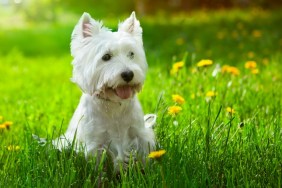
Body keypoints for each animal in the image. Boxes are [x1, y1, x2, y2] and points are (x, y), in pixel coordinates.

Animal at [53, 11, 156, 167]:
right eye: (106, 57)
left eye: (131, 54)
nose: (128, 74)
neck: (114, 104)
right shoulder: (95, 143)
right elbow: (98, 168)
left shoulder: (140, 134)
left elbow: (144, 156)